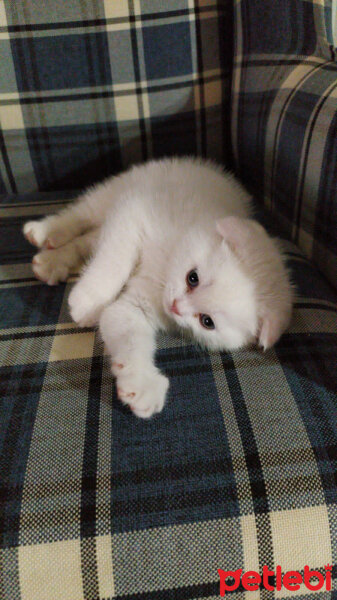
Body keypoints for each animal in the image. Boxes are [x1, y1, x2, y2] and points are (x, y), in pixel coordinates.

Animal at [23, 158, 292, 418]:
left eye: (207, 321)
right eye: (192, 278)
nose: (175, 306)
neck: (168, 263)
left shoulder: (139, 305)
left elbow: (126, 329)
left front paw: (141, 385)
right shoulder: (133, 212)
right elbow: (115, 258)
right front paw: (89, 300)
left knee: (88, 239)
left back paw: (51, 261)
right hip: (122, 187)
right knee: (83, 214)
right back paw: (44, 231)